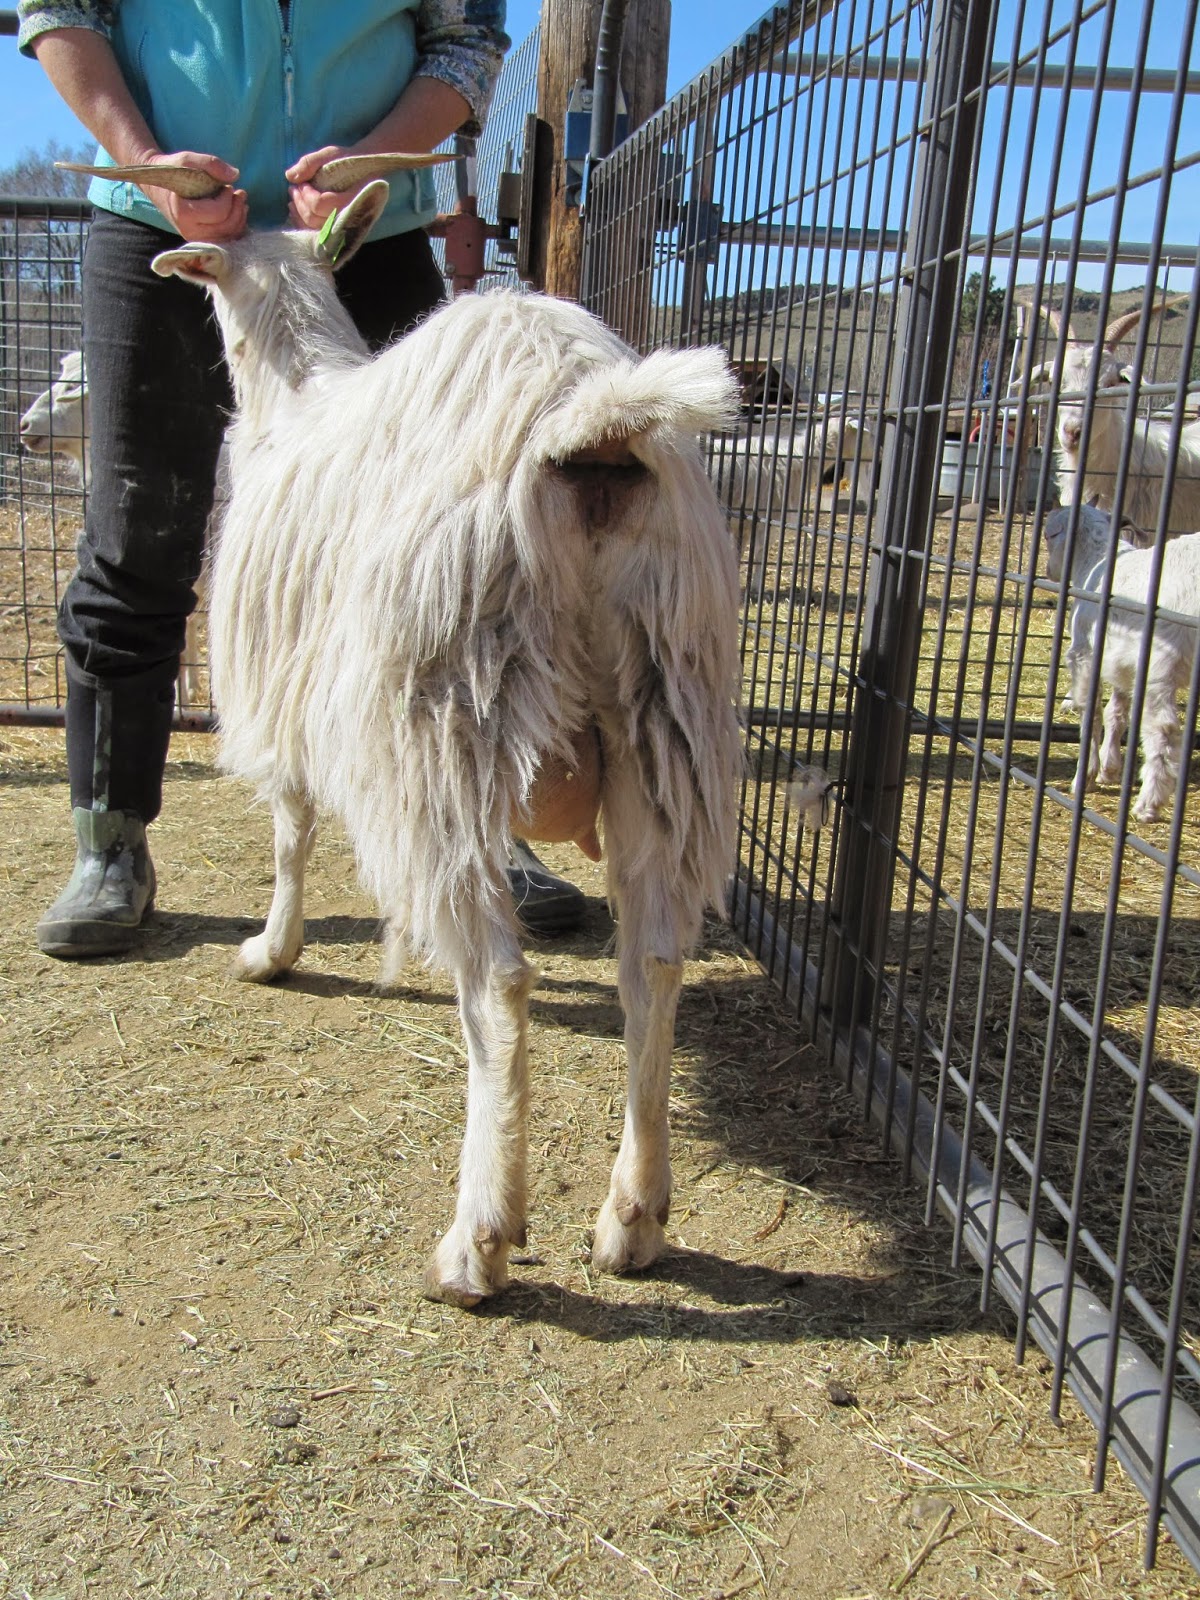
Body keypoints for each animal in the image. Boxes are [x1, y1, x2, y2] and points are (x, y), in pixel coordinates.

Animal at [149, 175, 744, 1308]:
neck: (294, 397)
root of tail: (588, 414)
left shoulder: (291, 700)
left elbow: (289, 835)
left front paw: (271, 950)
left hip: (439, 713)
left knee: (499, 982)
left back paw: (481, 1237)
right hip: (667, 712)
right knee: (651, 961)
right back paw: (633, 1217)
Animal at [1043, 503, 1200, 821]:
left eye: (1048, 535)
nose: (1048, 571)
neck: (1098, 563)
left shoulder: (1085, 653)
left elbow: (1090, 711)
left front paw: (1085, 776)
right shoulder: (1122, 661)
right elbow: (1116, 711)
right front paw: (1109, 768)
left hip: (1162, 661)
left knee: (1163, 730)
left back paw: (1148, 804)